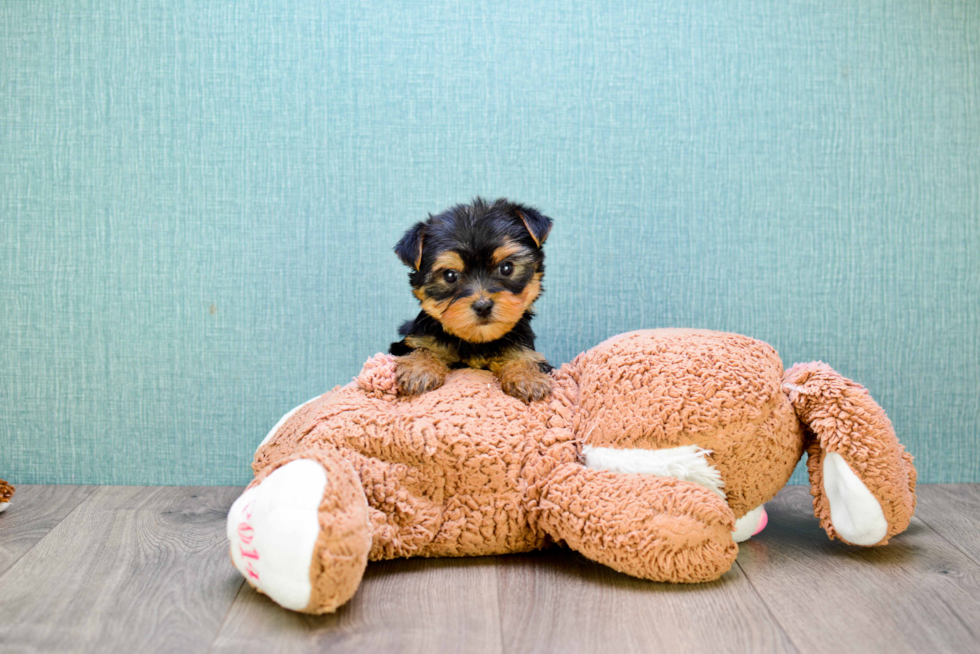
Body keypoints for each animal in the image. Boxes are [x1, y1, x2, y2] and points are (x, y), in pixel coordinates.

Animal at [392, 199, 560, 404]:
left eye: (506, 268)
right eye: (450, 275)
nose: (483, 306)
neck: (476, 341)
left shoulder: (522, 344)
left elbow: (525, 356)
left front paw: (528, 377)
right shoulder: (414, 340)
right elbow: (422, 348)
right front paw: (418, 369)